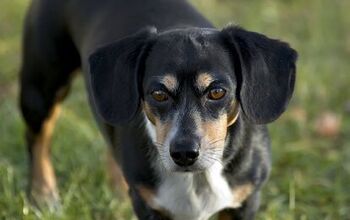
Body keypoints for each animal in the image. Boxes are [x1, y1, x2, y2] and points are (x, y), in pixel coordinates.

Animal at [19, 0, 296, 218]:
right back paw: (44, 196)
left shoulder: (245, 202)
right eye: (158, 93)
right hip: (41, 88)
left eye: (217, 92)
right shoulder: (149, 208)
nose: (184, 153)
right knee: (37, 140)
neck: (197, 179)